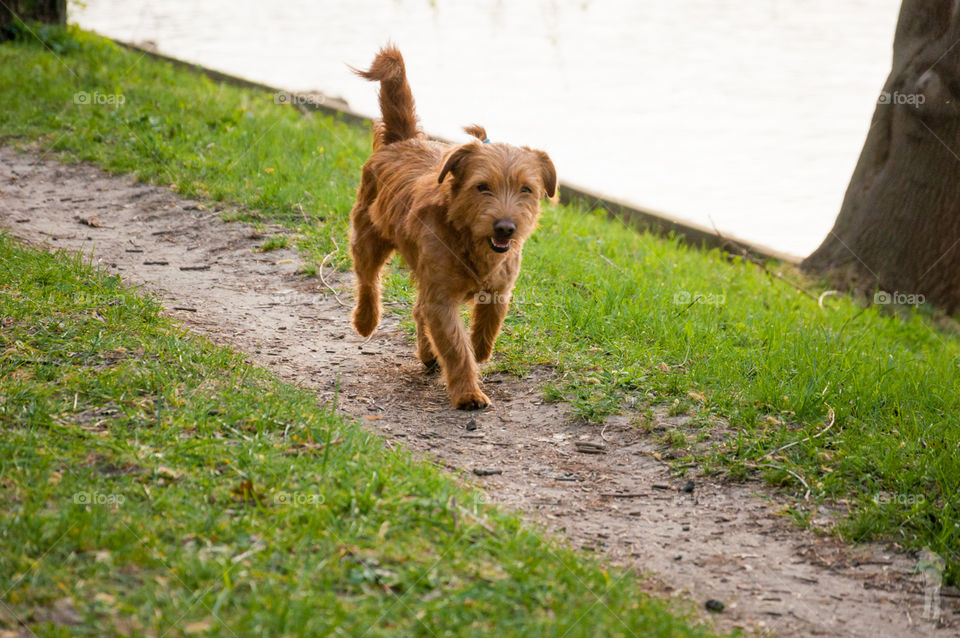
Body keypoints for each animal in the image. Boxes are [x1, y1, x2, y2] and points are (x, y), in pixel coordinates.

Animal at [348, 47, 556, 412]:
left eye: (526, 189)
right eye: (482, 187)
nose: (506, 227)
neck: (467, 237)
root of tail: (403, 140)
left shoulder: (499, 288)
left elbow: (487, 325)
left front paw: (480, 350)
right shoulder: (442, 298)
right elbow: (456, 347)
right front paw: (468, 392)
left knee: (417, 309)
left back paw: (428, 352)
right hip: (368, 237)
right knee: (369, 280)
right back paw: (366, 320)